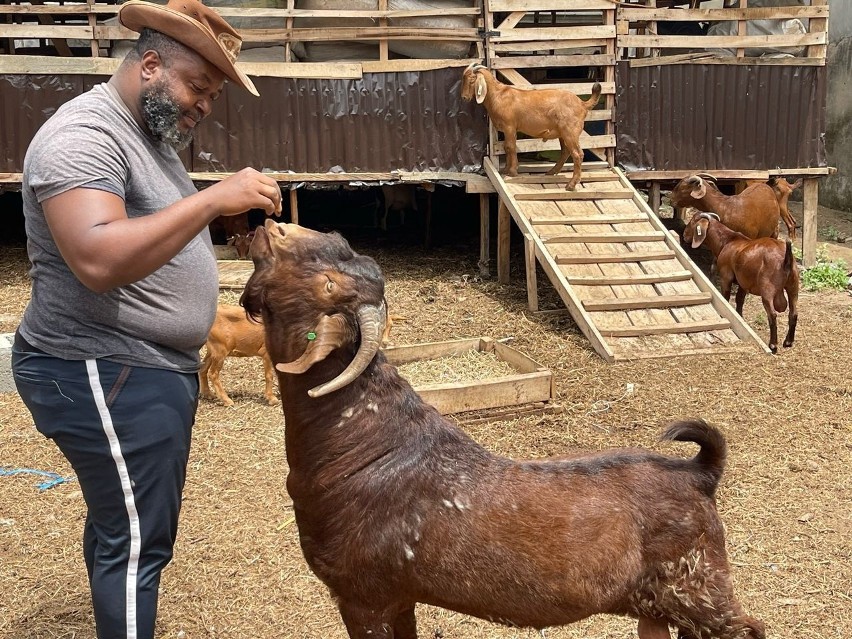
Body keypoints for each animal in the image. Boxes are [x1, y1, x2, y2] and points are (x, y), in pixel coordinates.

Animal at [240, 219, 764, 639]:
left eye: (329, 284)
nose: (274, 225)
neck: (362, 442)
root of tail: (698, 472)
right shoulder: (399, 598)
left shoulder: (363, 596)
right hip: (661, 605)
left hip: (698, 588)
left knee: (749, 628)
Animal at [460, 62, 600, 192]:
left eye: (472, 79)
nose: (464, 97)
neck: (498, 95)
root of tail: (582, 104)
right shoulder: (507, 129)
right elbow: (506, 147)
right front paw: (505, 169)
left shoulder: (509, 126)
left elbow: (510, 147)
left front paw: (512, 171)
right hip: (563, 133)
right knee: (565, 151)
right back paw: (551, 172)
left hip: (570, 131)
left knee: (577, 154)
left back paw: (571, 185)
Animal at [680, 210, 800, 352]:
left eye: (692, 222)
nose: (684, 235)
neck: (728, 240)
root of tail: (786, 258)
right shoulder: (743, 283)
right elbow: (739, 300)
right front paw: (740, 317)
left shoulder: (726, 277)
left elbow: (725, 297)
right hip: (793, 287)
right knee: (794, 313)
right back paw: (788, 341)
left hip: (768, 290)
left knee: (772, 314)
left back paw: (773, 345)